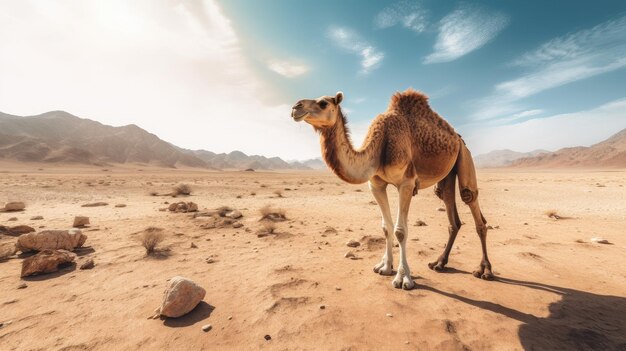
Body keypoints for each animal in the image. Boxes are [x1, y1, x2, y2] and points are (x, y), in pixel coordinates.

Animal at [290, 89, 490, 290]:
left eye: (323, 103)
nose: (295, 107)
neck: (381, 143)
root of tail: (458, 138)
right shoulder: (376, 184)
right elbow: (386, 227)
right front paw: (385, 267)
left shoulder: (406, 183)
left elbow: (400, 231)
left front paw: (403, 278)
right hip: (447, 174)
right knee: (450, 212)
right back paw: (438, 263)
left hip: (465, 156)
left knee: (471, 201)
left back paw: (484, 270)